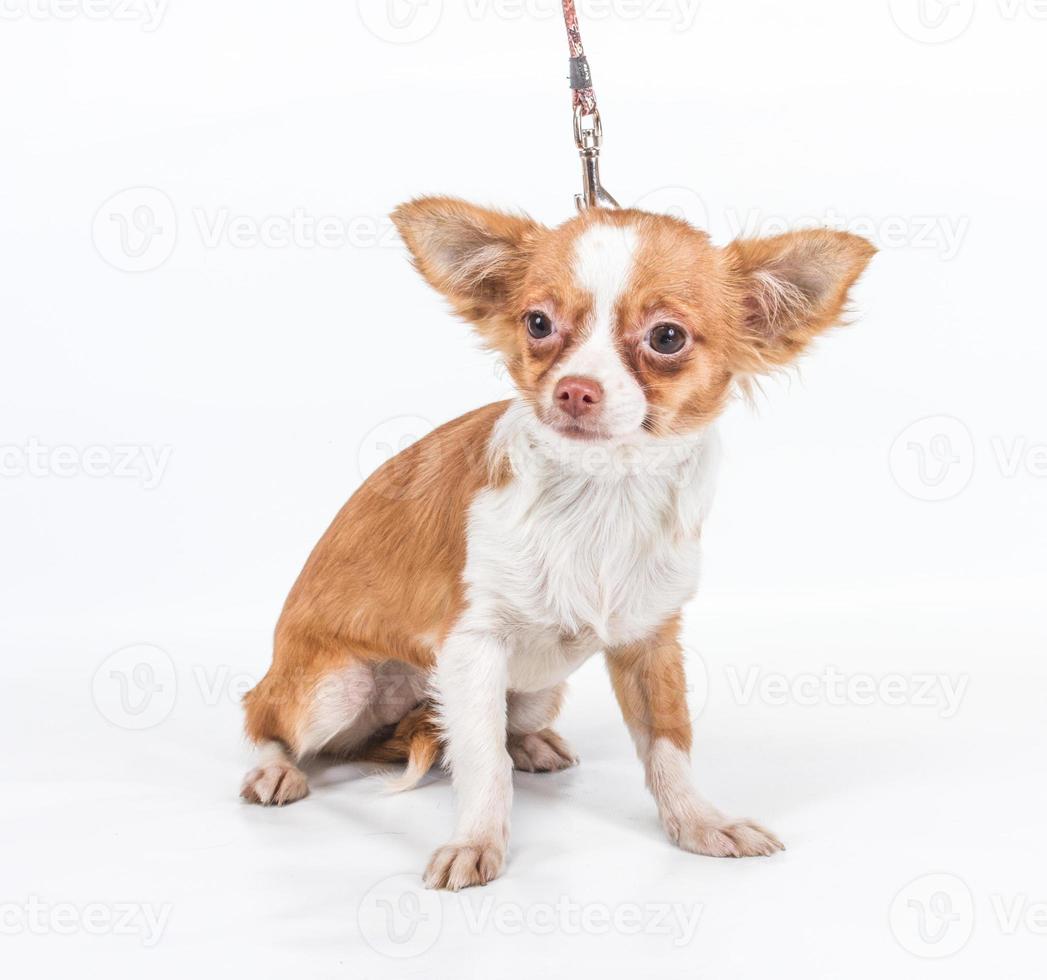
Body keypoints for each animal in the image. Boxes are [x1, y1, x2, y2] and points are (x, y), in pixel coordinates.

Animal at [239, 196, 875, 887]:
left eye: (667, 337)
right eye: (538, 323)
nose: (575, 389)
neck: (601, 493)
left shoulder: (652, 640)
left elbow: (668, 742)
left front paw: (700, 823)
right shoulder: (472, 646)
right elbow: (481, 761)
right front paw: (476, 841)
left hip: (537, 690)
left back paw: (531, 743)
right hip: (334, 689)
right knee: (265, 716)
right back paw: (275, 768)